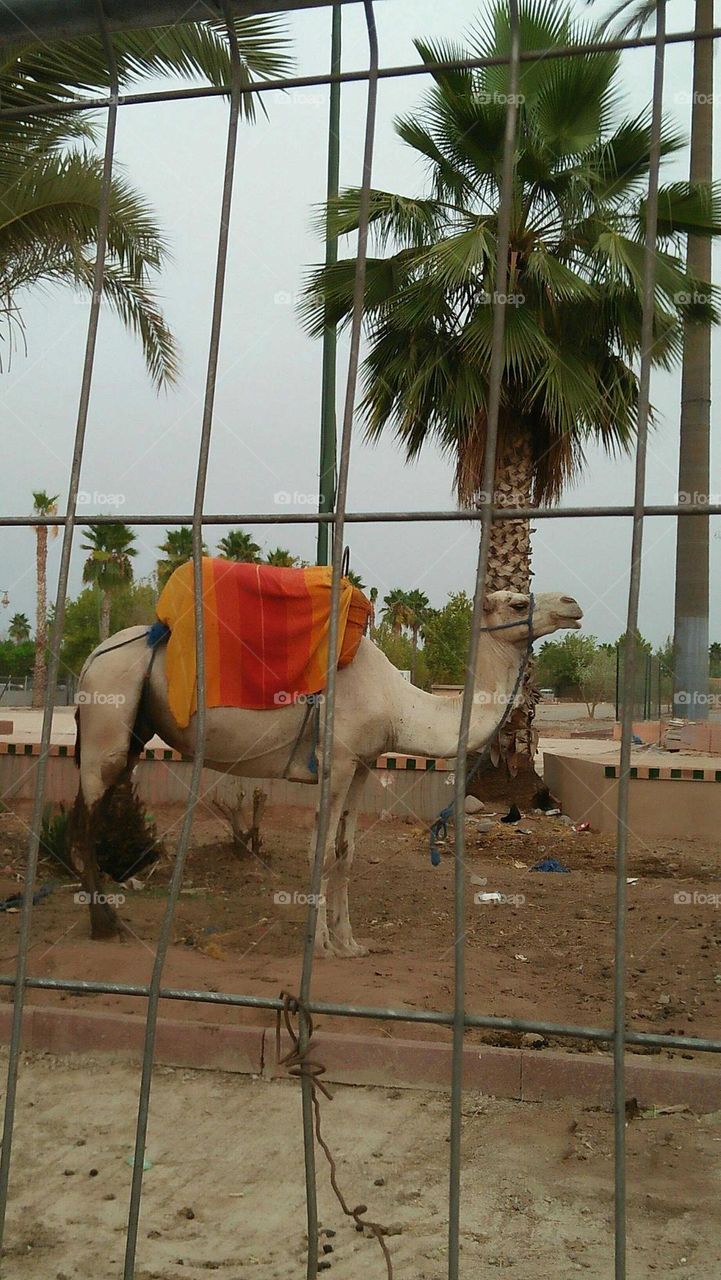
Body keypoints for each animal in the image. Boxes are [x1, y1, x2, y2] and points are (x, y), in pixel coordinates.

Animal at [73, 586, 581, 952]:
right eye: (518, 601)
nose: (572, 605)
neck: (398, 704)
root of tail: (90, 659)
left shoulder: (362, 764)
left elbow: (346, 851)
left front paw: (350, 942)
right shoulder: (335, 762)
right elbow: (320, 850)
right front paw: (319, 944)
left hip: (133, 728)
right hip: (109, 711)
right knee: (87, 812)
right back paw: (104, 923)